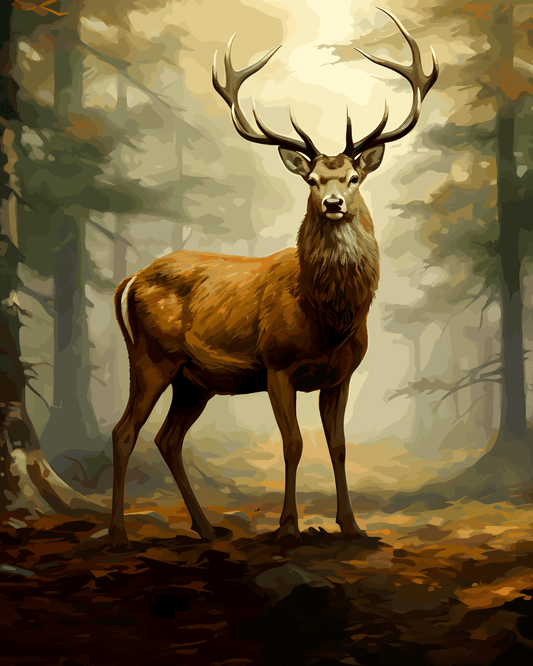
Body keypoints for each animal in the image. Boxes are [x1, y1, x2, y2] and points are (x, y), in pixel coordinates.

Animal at [109, 9, 438, 549]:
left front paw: (352, 525)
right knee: (124, 431)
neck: (328, 318)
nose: (333, 203)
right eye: (312, 180)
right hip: (151, 355)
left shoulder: (341, 374)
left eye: (353, 177)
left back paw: (206, 528)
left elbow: (339, 445)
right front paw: (288, 526)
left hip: (194, 379)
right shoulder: (276, 365)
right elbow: (293, 443)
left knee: (167, 438)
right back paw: (117, 534)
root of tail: (131, 279)